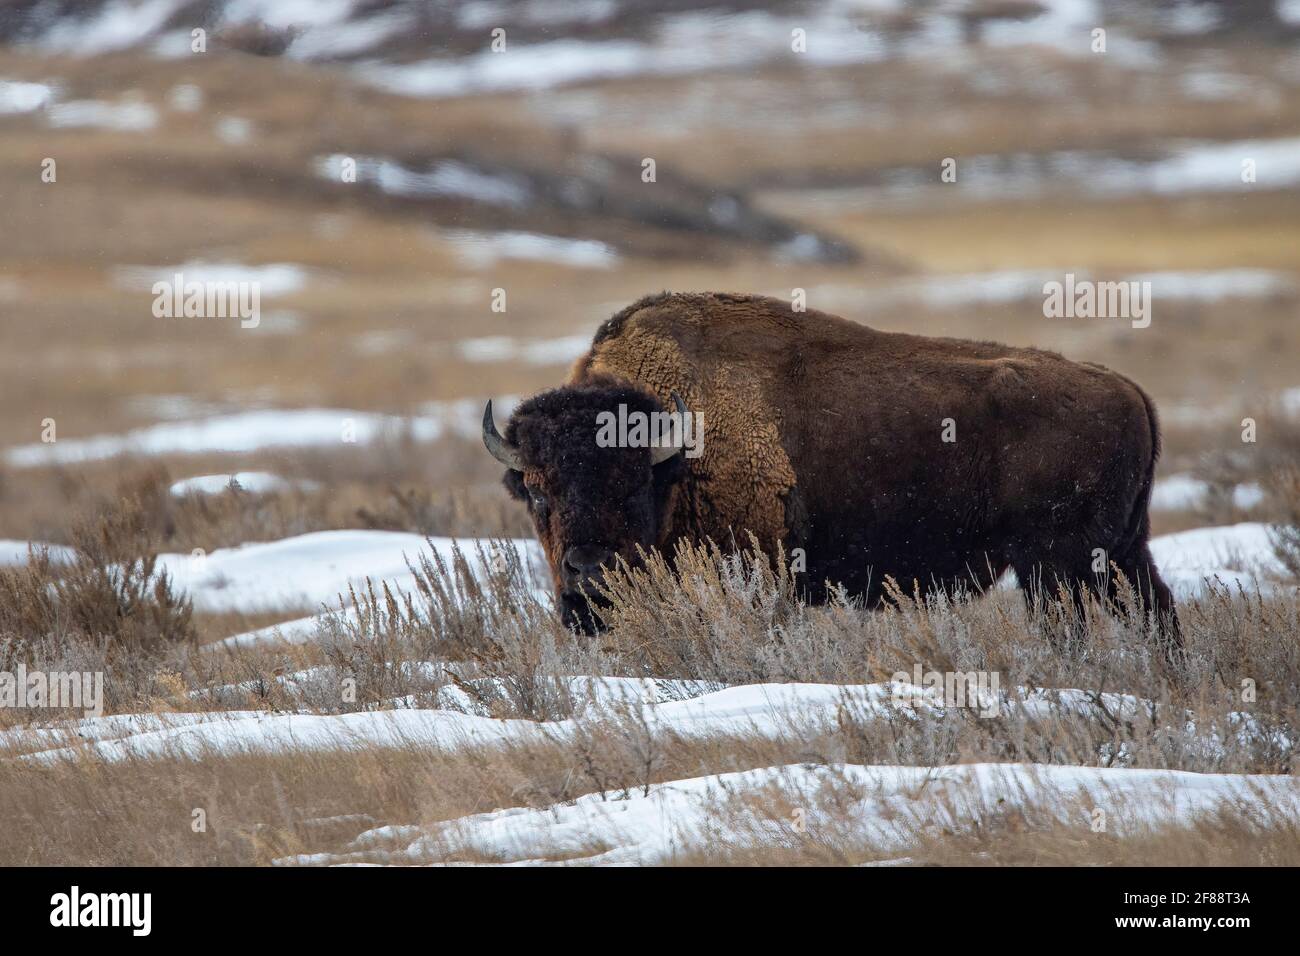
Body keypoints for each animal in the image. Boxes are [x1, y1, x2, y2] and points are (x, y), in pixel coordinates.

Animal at [483, 291, 1185, 650]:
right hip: (1121, 552)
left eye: (633, 489)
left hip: (1056, 566)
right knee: (1156, 610)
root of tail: (1128, 391)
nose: (589, 571)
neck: (679, 454)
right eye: (537, 493)